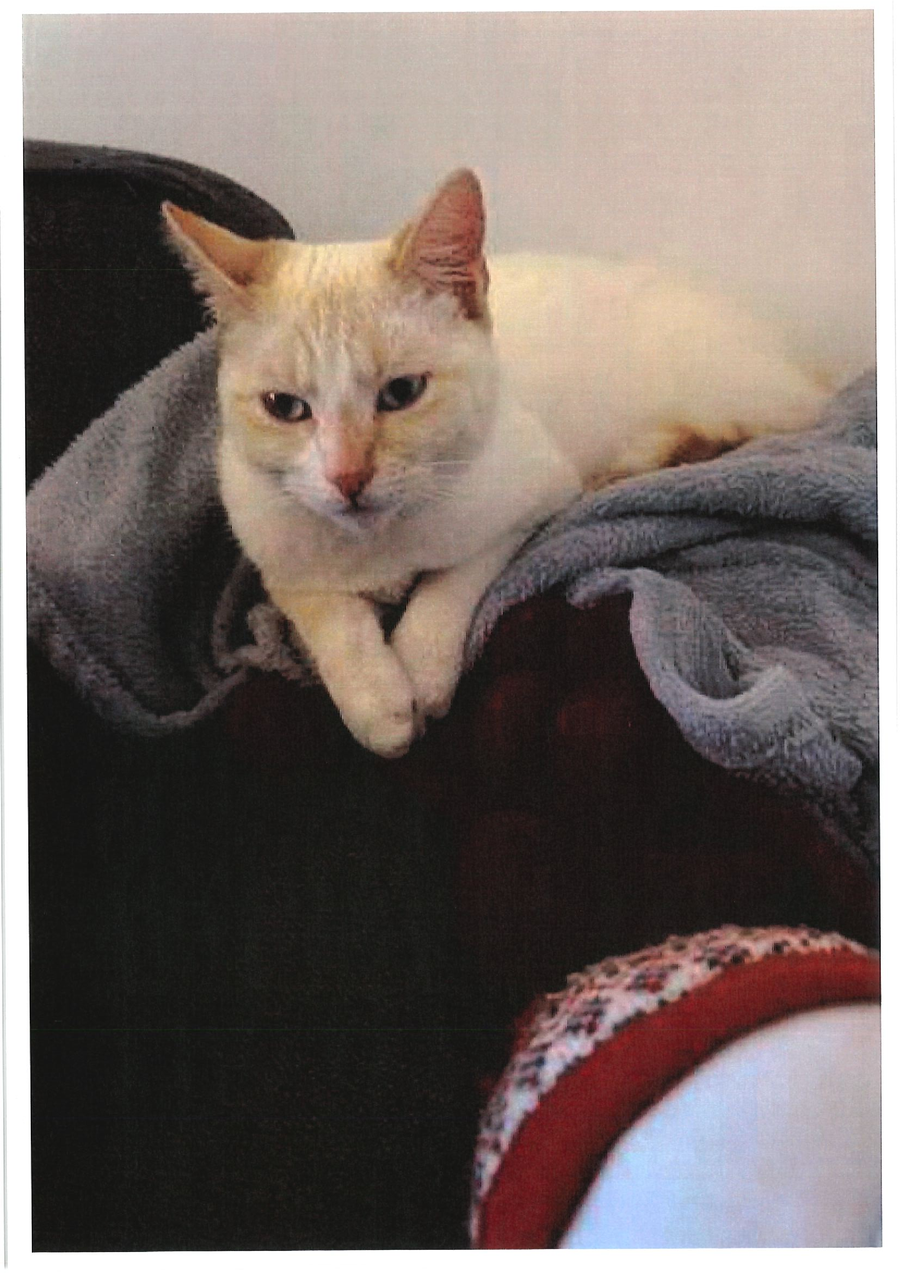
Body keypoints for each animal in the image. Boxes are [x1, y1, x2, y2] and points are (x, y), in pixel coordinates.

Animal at [163, 169, 828, 758]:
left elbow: (453, 578)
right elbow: (327, 614)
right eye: (285, 407)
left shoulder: (534, 495)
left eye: (402, 393)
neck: (381, 544)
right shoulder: (273, 549)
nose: (348, 477)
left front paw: (419, 670)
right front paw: (376, 702)